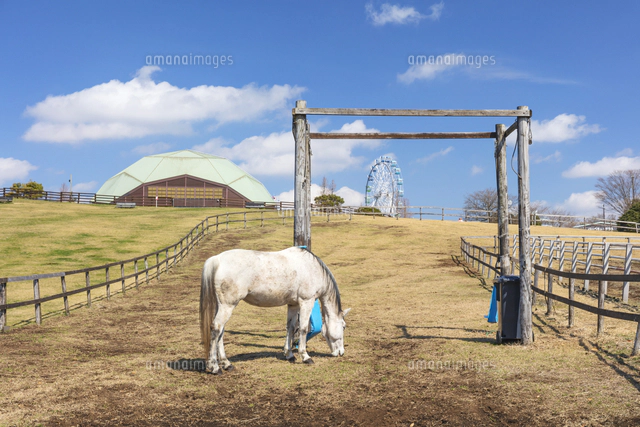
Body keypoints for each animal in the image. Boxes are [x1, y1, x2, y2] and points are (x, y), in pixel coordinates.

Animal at [199, 246, 350, 374]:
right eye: (343, 326)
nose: (341, 352)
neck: (312, 268)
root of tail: (217, 259)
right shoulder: (306, 301)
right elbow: (303, 329)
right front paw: (305, 357)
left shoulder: (293, 304)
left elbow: (290, 327)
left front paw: (289, 355)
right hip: (228, 306)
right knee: (216, 329)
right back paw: (215, 367)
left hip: (222, 306)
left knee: (221, 332)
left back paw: (226, 364)